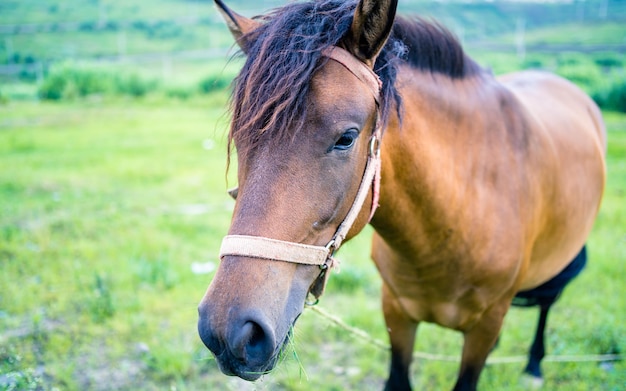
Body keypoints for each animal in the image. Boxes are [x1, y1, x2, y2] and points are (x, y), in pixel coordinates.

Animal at [196, 1, 604, 390]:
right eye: (240, 136)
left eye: (346, 138)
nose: (229, 331)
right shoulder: (396, 312)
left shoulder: (485, 325)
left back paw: (534, 364)